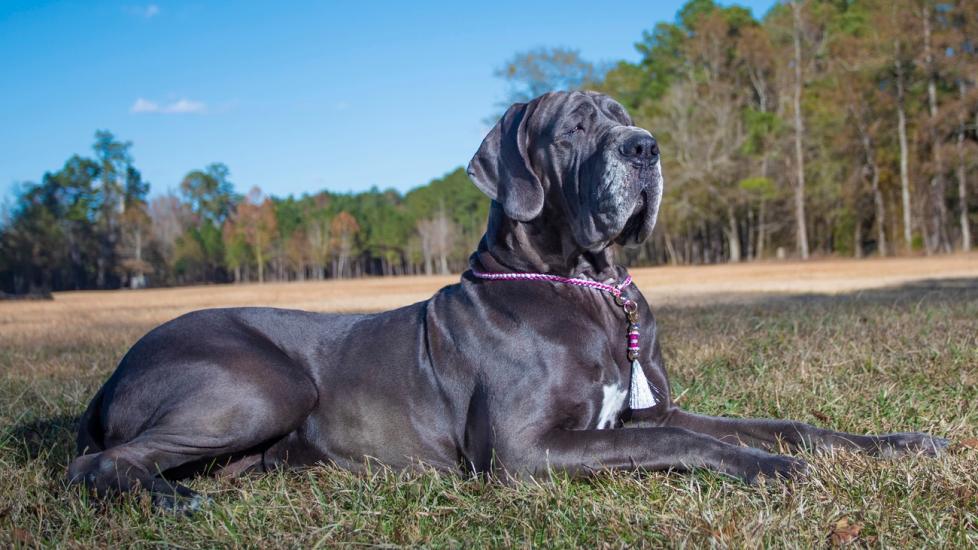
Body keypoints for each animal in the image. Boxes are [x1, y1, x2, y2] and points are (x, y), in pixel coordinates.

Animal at [68, 91, 944, 512]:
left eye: (626, 120)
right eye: (574, 129)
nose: (646, 148)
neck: (588, 285)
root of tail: (109, 375)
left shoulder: (645, 411)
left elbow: (772, 420)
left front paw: (896, 443)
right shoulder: (527, 451)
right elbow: (696, 443)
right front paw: (771, 468)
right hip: (264, 383)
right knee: (98, 461)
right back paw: (176, 504)